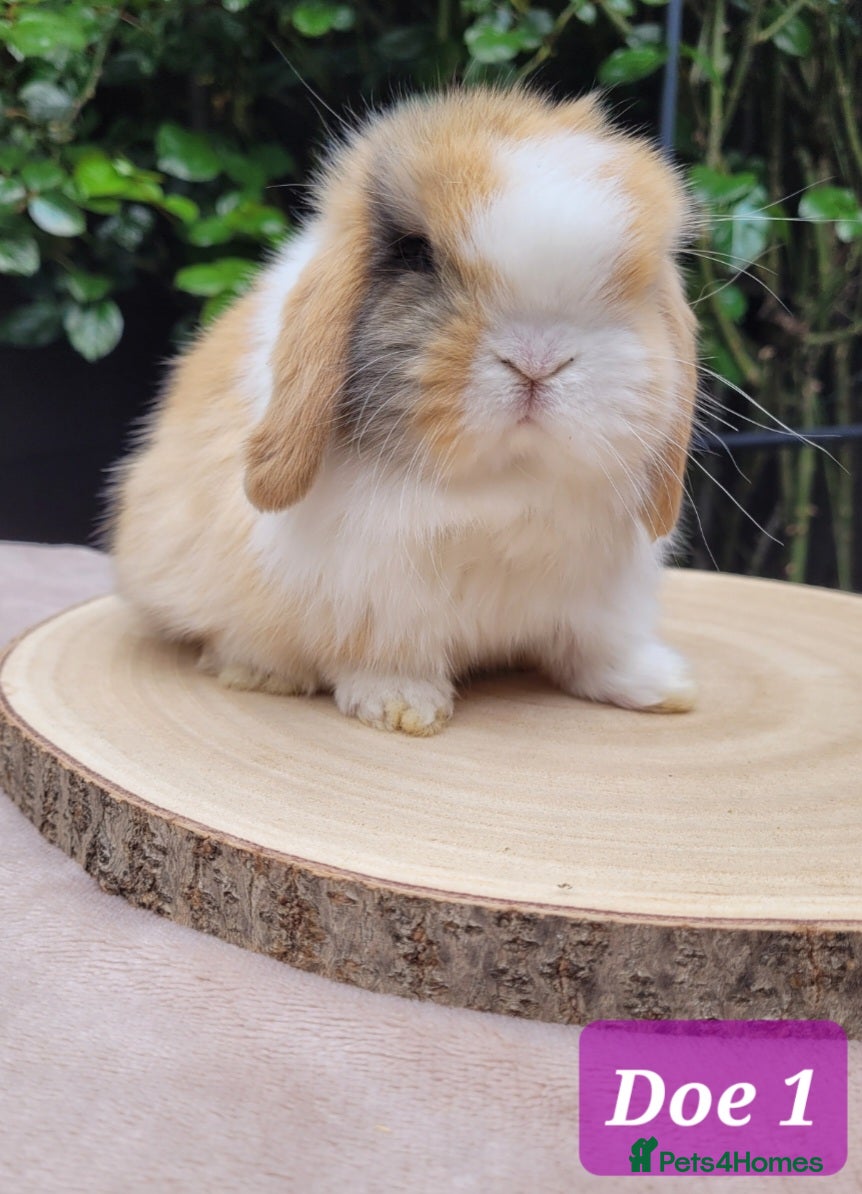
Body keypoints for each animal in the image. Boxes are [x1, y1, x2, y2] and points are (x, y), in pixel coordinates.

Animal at [107, 86, 698, 737]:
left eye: (638, 280)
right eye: (416, 253)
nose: (537, 360)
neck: (504, 484)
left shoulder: (603, 602)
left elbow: (597, 651)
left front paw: (663, 687)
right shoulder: (375, 598)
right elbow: (388, 656)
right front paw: (402, 709)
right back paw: (260, 672)